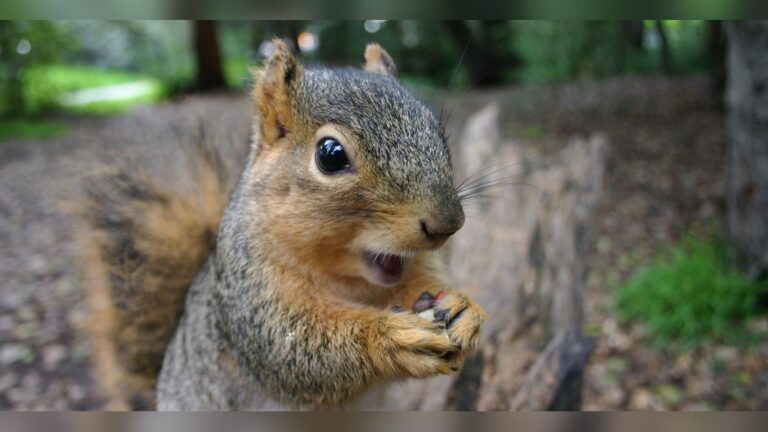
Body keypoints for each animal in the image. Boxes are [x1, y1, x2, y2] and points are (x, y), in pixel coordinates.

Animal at [79, 40, 487, 410]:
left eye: (436, 130)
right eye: (330, 155)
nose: (447, 224)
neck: (353, 283)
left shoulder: (415, 267)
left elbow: (429, 283)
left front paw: (463, 309)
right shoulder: (249, 295)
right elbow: (292, 351)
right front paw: (386, 336)